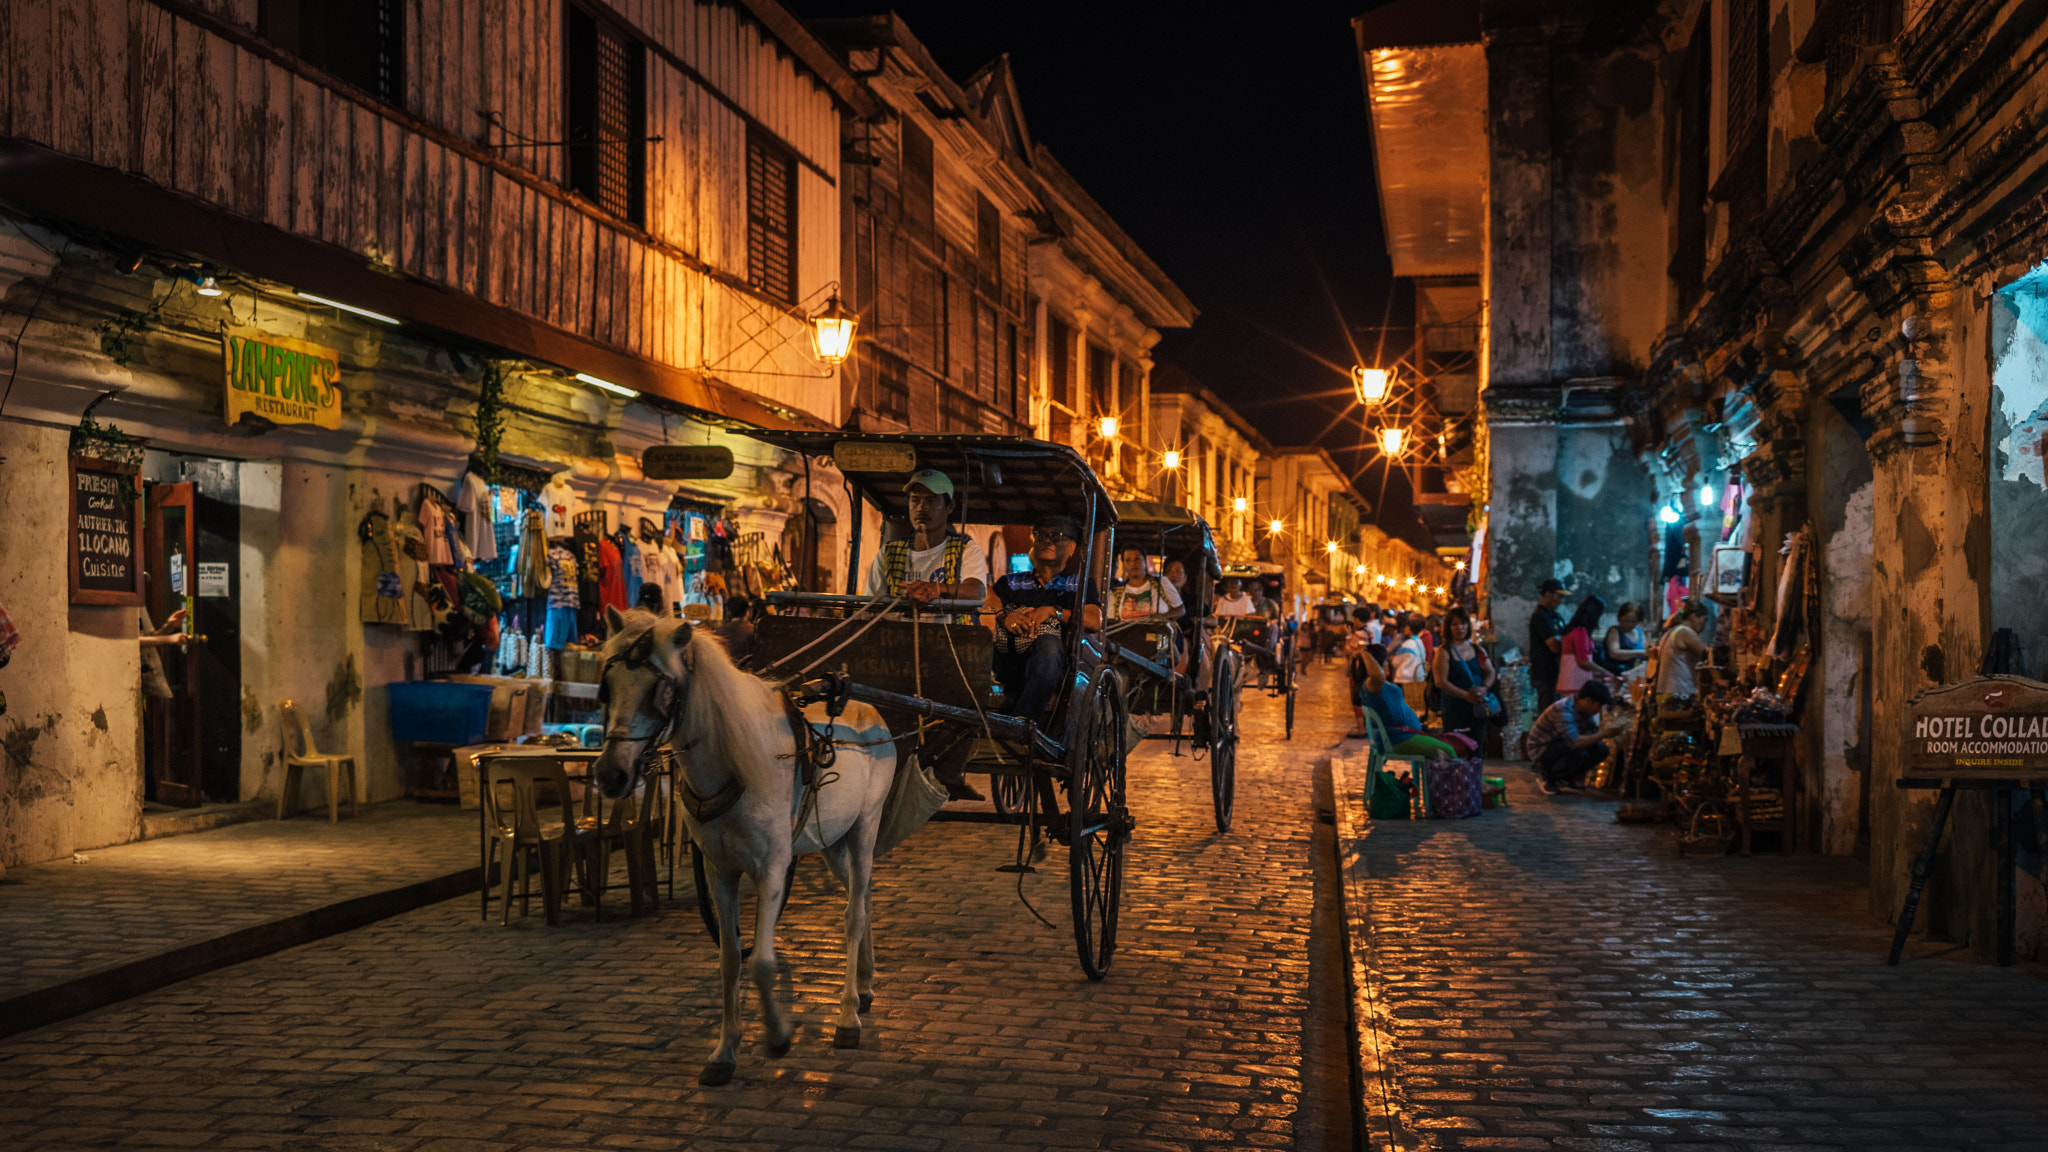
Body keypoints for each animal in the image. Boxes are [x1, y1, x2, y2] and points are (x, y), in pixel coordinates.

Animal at [593, 606, 897, 1082]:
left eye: (661, 691)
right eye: (607, 686)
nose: (611, 775)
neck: (730, 761)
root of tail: (869, 709)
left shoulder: (772, 868)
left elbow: (761, 962)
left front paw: (777, 1036)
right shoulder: (720, 870)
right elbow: (731, 959)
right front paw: (724, 1051)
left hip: (865, 827)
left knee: (852, 914)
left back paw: (847, 1017)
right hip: (833, 841)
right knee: (861, 899)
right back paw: (863, 985)